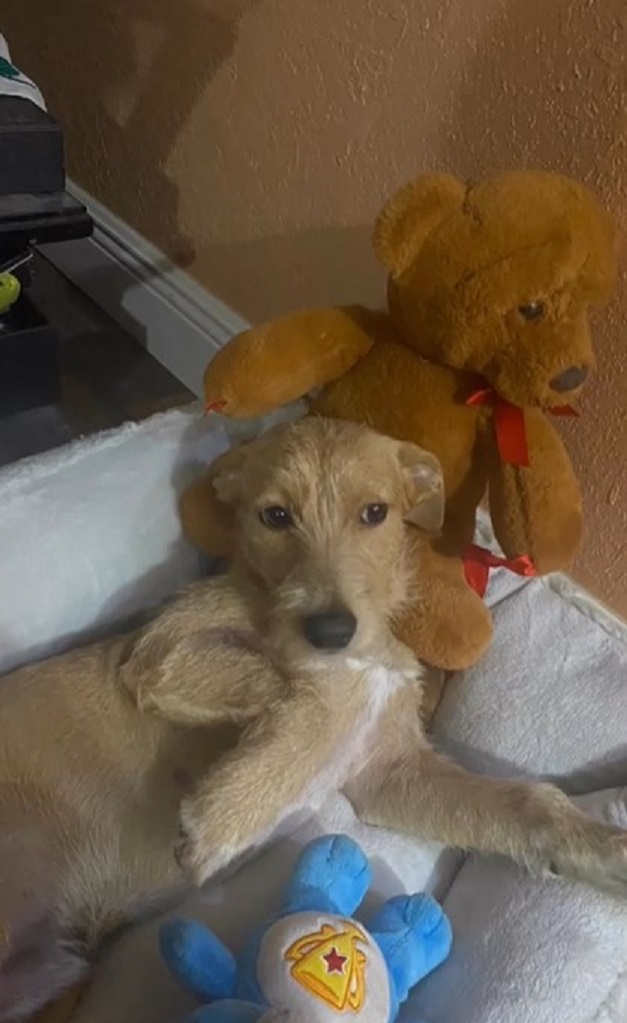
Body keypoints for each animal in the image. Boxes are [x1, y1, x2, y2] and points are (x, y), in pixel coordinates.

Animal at [1, 417, 625, 1023]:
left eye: (375, 512)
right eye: (275, 516)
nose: (331, 630)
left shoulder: (388, 774)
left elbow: (526, 803)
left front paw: (602, 847)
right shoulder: (158, 654)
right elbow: (314, 689)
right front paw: (226, 815)